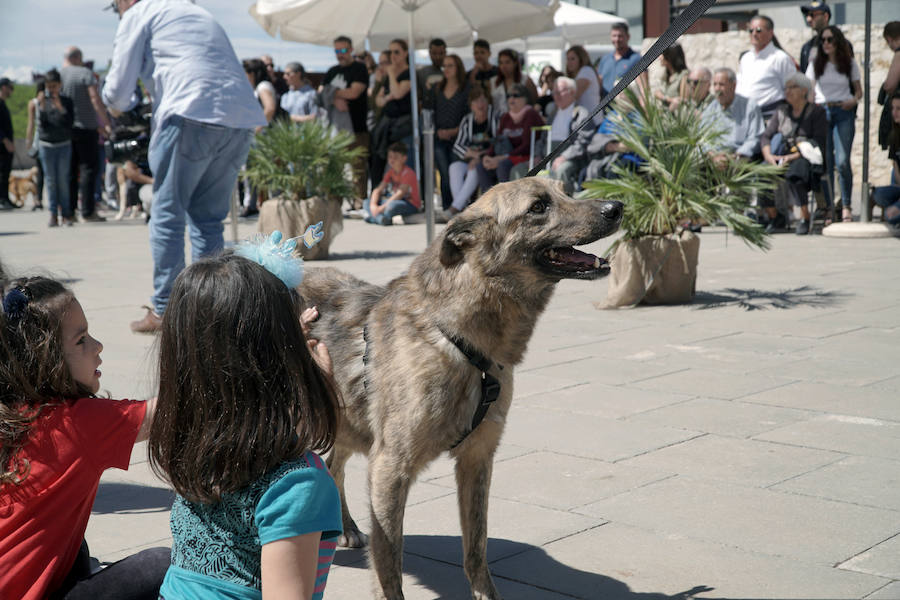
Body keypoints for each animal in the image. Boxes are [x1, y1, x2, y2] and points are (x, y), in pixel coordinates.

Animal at [298, 178, 624, 600]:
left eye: (565, 190)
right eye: (538, 207)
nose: (616, 207)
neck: (456, 337)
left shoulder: (477, 459)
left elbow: (476, 548)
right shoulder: (390, 467)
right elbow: (389, 565)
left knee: (334, 464)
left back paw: (346, 527)